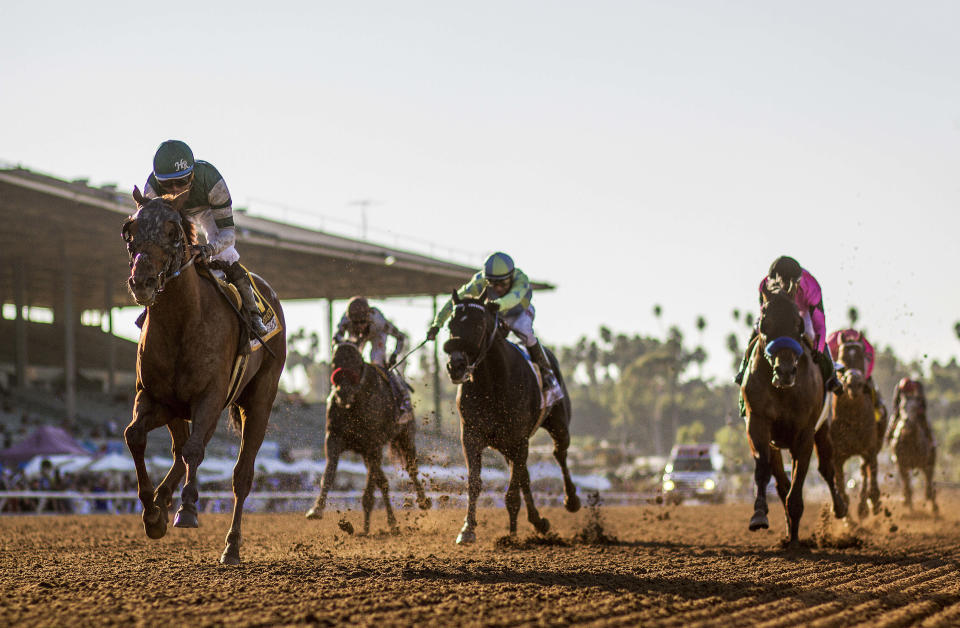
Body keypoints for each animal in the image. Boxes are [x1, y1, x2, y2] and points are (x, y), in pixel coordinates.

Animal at [122, 190, 284, 564]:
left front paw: (187, 510)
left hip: (259, 400)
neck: (182, 321)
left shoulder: (209, 396)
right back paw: (162, 501)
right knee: (179, 449)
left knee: (241, 475)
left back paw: (231, 545)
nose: (142, 282)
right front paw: (152, 513)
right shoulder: (157, 398)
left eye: (172, 231)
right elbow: (135, 436)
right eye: (130, 230)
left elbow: (194, 451)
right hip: (183, 409)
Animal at [306, 340, 430, 532]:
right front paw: (316, 510)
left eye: (356, 362)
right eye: (334, 362)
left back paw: (422, 503)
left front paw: (368, 525)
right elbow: (328, 475)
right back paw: (388, 523)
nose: (343, 392)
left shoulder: (373, 445)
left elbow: (371, 488)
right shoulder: (334, 438)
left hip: (405, 436)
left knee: (411, 468)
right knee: (383, 481)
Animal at [442, 294, 576, 544]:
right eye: (450, 325)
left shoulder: (519, 438)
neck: (492, 383)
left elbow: (512, 493)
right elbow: (475, 482)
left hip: (558, 424)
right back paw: (537, 521)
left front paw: (510, 536)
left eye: (478, 325)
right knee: (524, 475)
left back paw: (570, 500)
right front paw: (467, 529)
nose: (455, 366)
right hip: (507, 446)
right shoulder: (471, 436)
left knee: (559, 453)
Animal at [740, 282, 844, 548]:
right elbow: (763, 468)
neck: (783, 390)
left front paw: (796, 541)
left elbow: (799, 482)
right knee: (780, 483)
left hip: (824, 431)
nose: (785, 371)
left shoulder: (804, 432)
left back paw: (839, 507)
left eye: (798, 323)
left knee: (827, 469)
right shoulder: (758, 423)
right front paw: (759, 514)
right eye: (764, 323)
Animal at [828, 336, 888, 516]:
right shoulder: (837, 455)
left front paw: (871, 503)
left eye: (862, 357)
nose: (854, 384)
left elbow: (871, 477)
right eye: (842, 358)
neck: (853, 418)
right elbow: (840, 485)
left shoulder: (870, 449)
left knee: (864, 470)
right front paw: (844, 513)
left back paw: (864, 507)